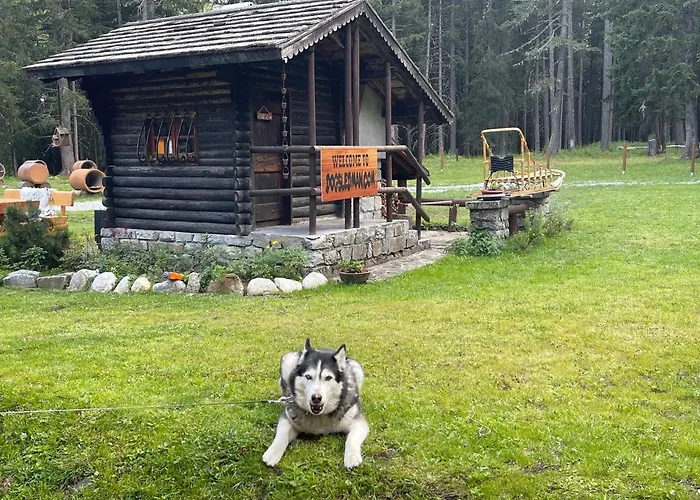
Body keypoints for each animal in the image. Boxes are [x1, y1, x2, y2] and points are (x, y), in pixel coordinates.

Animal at [262, 338, 369, 469]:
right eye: (308, 376)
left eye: (328, 378)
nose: (316, 398)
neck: (319, 417)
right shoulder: (288, 417)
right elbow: (281, 435)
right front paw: (272, 452)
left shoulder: (357, 421)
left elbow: (351, 439)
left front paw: (352, 456)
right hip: (288, 361)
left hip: (356, 368)